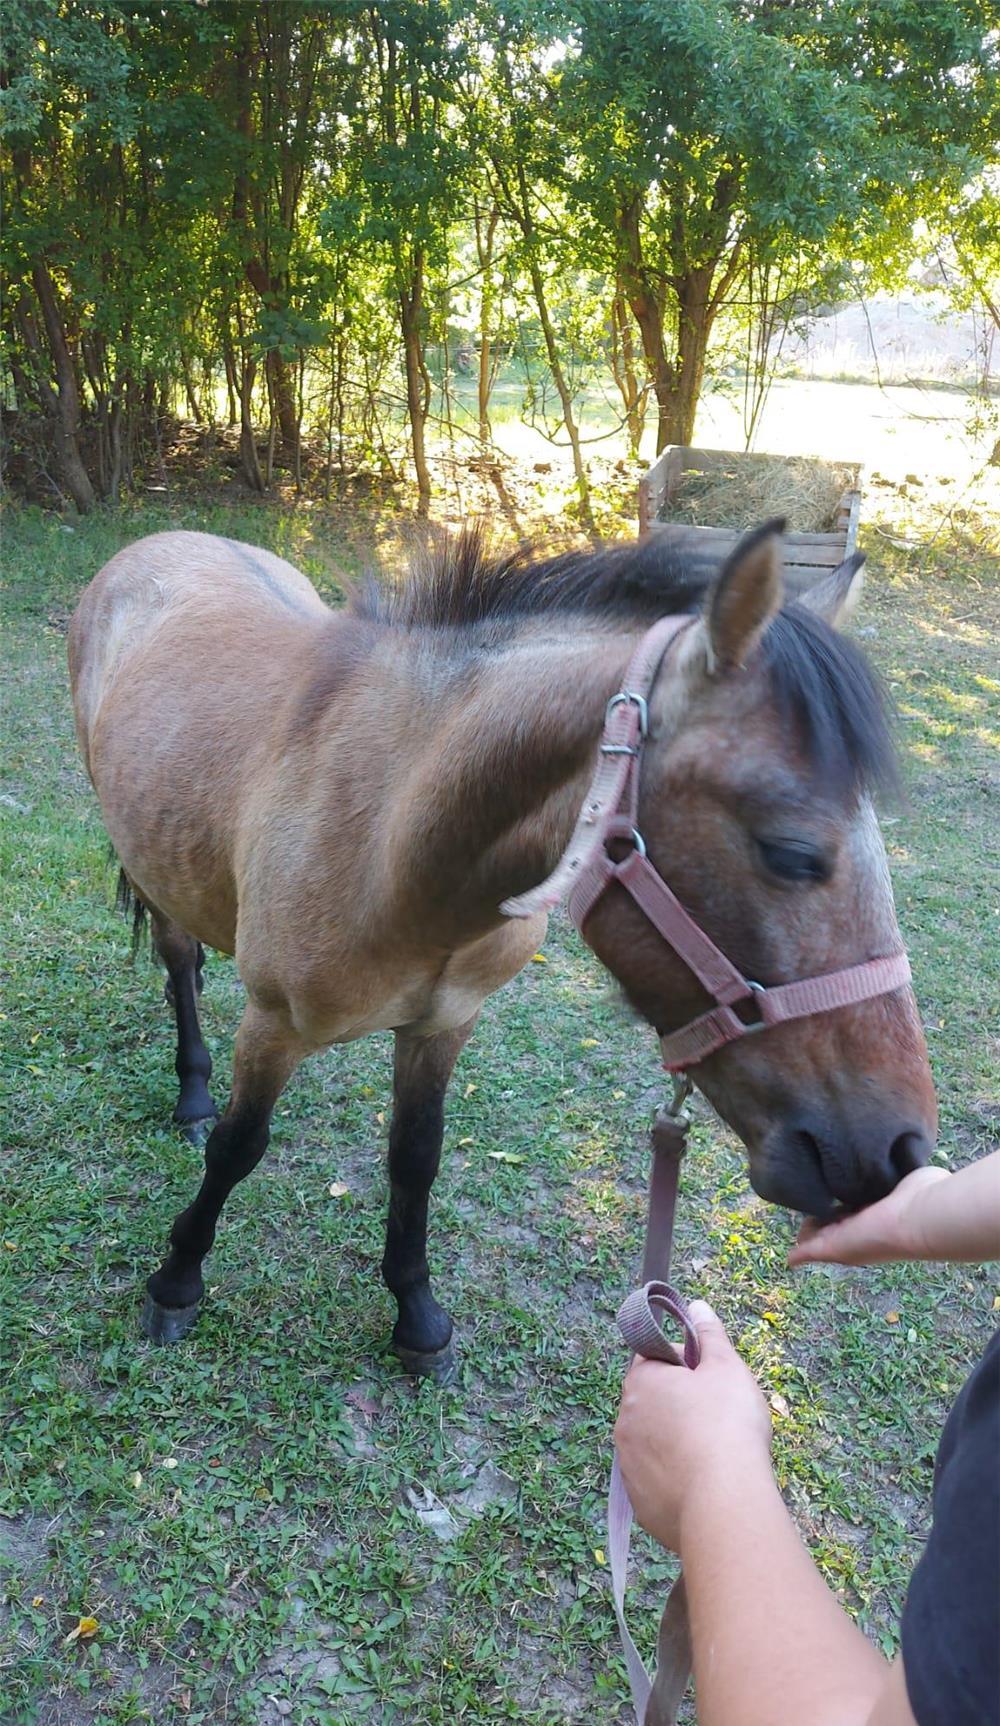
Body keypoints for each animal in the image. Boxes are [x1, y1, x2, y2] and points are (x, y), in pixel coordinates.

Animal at [68, 521, 937, 1380]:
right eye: (791, 853)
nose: (901, 1153)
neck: (396, 835)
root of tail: (160, 541)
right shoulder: (273, 1023)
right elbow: (236, 1148)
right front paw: (177, 1280)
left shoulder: (444, 1024)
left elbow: (416, 1159)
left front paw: (417, 1316)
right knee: (180, 965)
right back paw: (191, 1094)